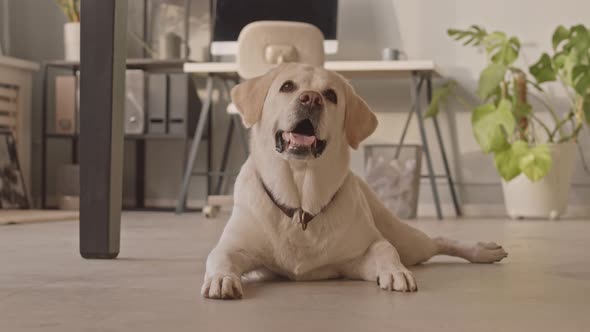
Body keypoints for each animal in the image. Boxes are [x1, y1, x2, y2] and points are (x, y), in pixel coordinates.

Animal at [204, 61, 508, 298]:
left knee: (437, 240)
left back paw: (483, 251)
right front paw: (221, 278)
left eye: (331, 95)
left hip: (406, 239)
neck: (301, 205)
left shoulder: (360, 254)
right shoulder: (235, 247)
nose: (311, 98)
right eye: (287, 87)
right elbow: (219, 255)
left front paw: (396, 272)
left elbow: (385, 250)